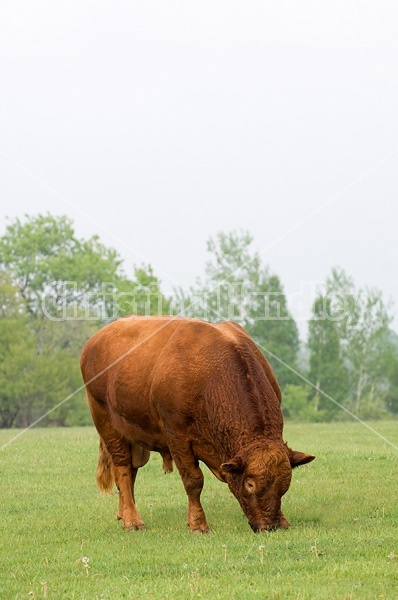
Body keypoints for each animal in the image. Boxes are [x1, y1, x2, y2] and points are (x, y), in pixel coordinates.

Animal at [80, 316, 314, 532]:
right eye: (250, 483)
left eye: (284, 484)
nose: (270, 525)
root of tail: (94, 341)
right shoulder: (177, 436)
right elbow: (193, 480)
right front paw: (198, 524)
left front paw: (283, 519)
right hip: (106, 422)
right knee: (122, 469)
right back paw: (132, 520)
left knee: (130, 471)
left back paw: (123, 513)